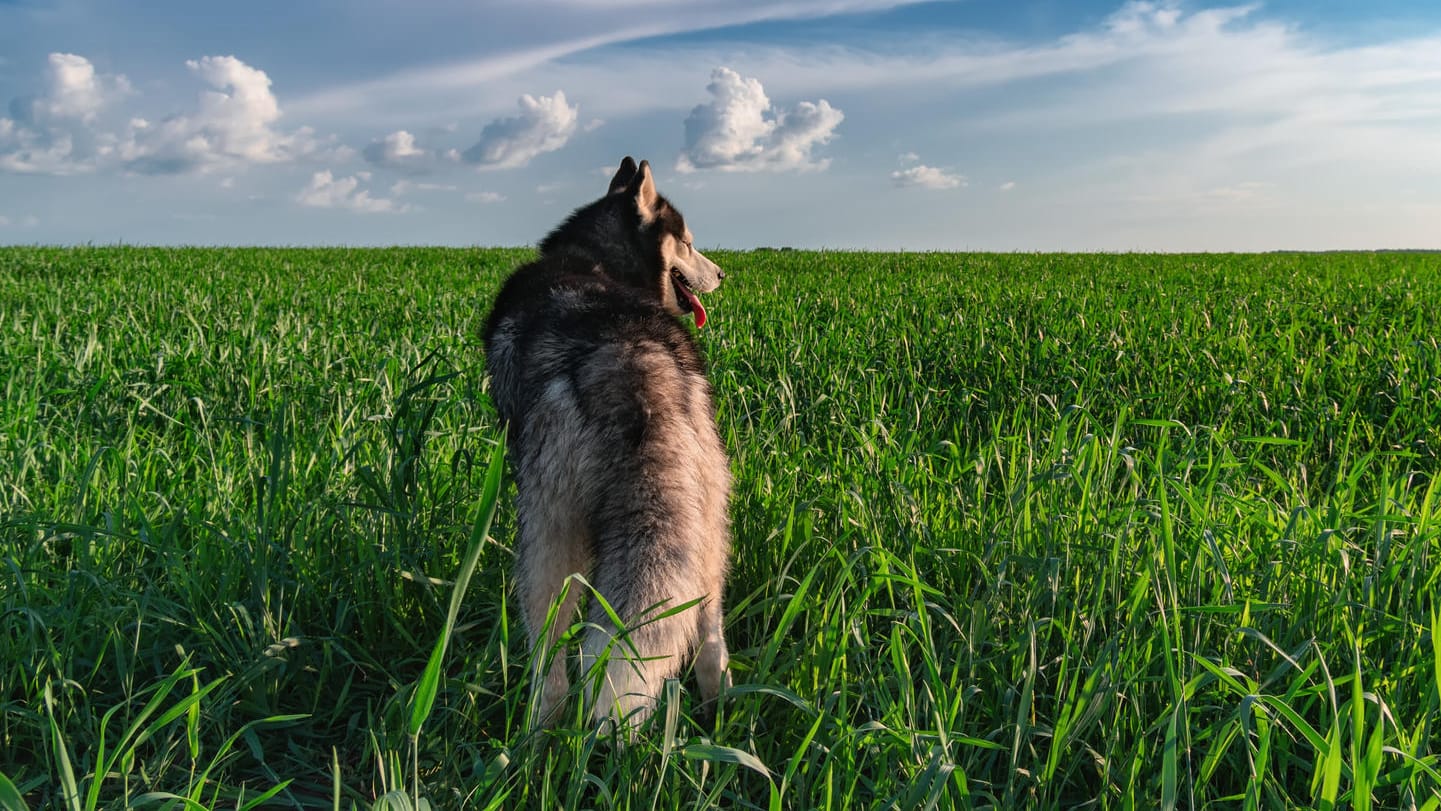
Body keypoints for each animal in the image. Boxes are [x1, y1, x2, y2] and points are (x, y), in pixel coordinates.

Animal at [484, 155, 732, 731]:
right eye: (689, 243)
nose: (722, 274)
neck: (595, 262)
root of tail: (629, 361)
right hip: (707, 516)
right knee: (709, 629)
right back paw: (722, 714)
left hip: (546, 531)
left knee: (549, 657)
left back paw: (536, 735)